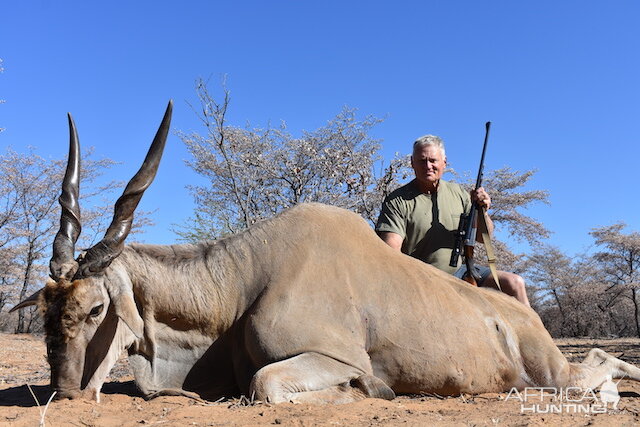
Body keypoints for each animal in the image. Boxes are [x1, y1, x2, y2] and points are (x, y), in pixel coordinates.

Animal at [11, 103, 640, 404]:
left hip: (554, 376)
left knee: (596, 365)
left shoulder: (338, 361)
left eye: (96, 308)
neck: (245, 280)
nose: (64, 391)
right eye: (45, 309)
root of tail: (521, 318)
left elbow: (267, 387)